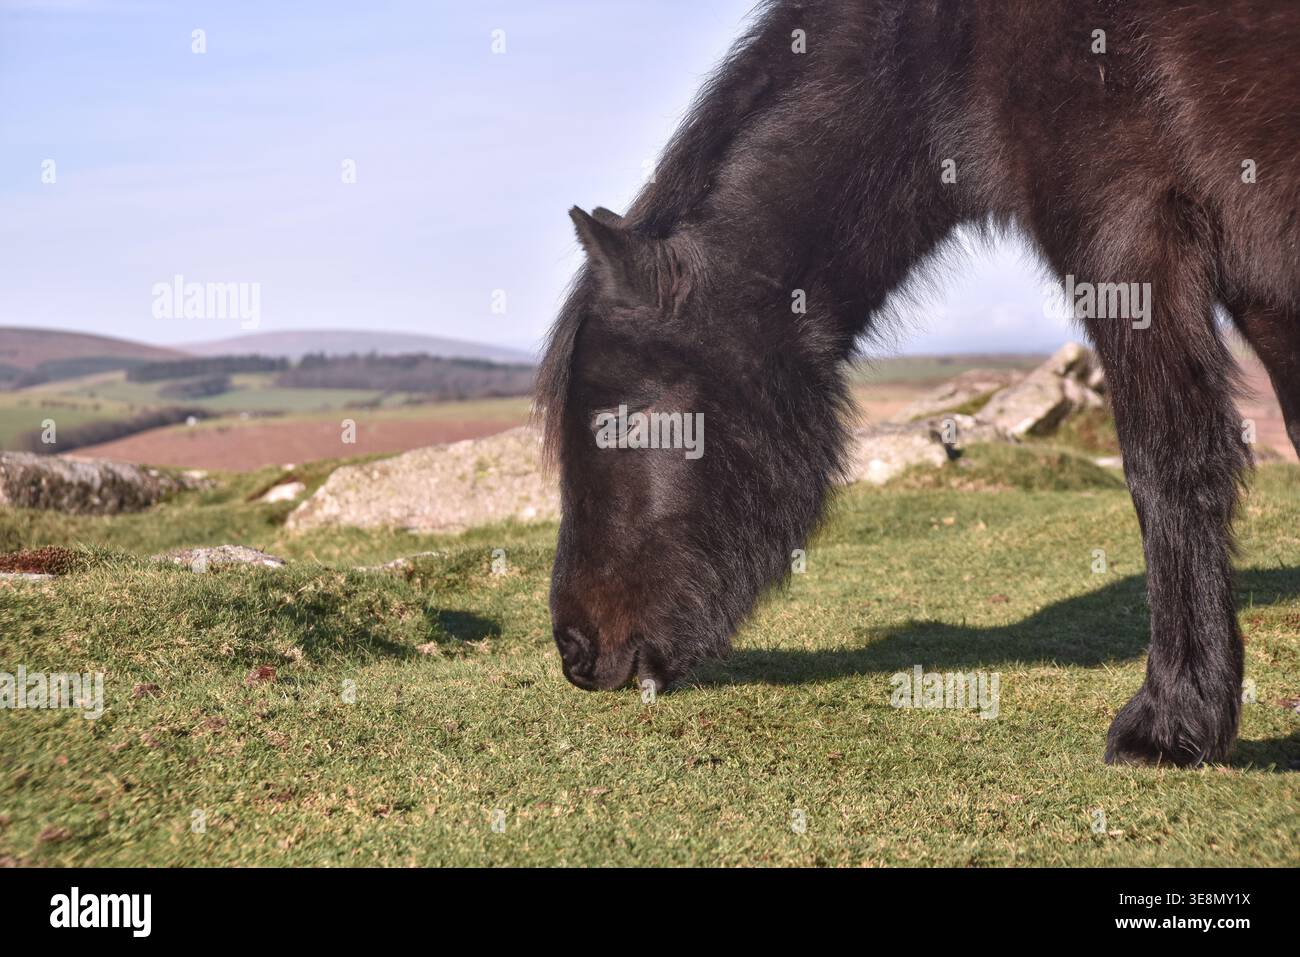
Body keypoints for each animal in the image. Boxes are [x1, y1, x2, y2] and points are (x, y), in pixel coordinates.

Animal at [536, 0, 1300, 767]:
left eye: (625, 419)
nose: (574, 650)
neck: (957, 49)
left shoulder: (1126, 236)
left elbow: (1165, 465)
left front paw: (1173, 722)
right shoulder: (1261, 274)